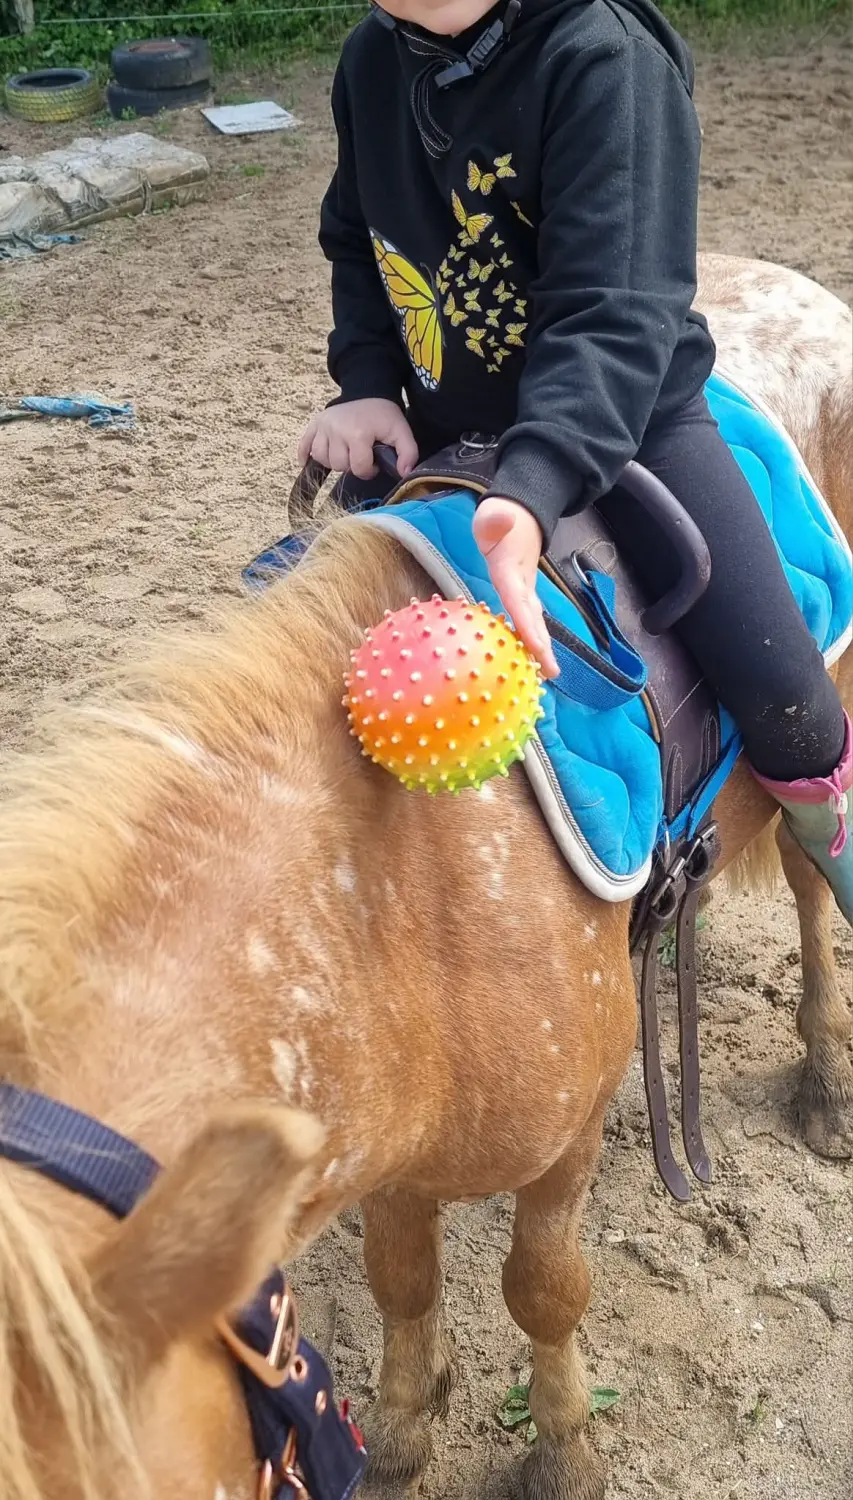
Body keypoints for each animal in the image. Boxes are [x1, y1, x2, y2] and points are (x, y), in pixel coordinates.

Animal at [0, 254, 849, 1500]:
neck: (383, 896)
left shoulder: (562, 1141)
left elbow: (541, 1290)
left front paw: (563, 1453)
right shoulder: (373, 1137)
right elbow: (403, 1274)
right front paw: (404, 1431)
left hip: (812, 706)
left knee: (810, 865)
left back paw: (826, 1076)